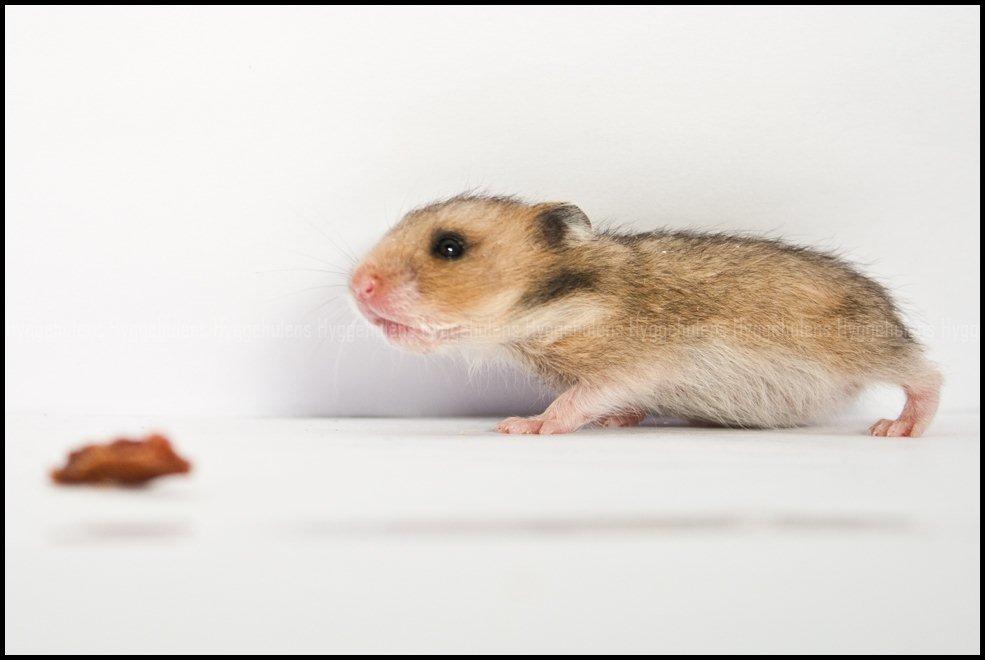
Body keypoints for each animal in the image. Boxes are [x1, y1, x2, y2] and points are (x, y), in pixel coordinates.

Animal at [349, 194, 941, 436]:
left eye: (449, 247)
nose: (356, 286)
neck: (555, 307)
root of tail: (888, 308)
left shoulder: (632, 365)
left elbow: (574, 402)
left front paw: (520, 425)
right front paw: (614, 420)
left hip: (865, 348)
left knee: (928, 374)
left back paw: (897, 429)